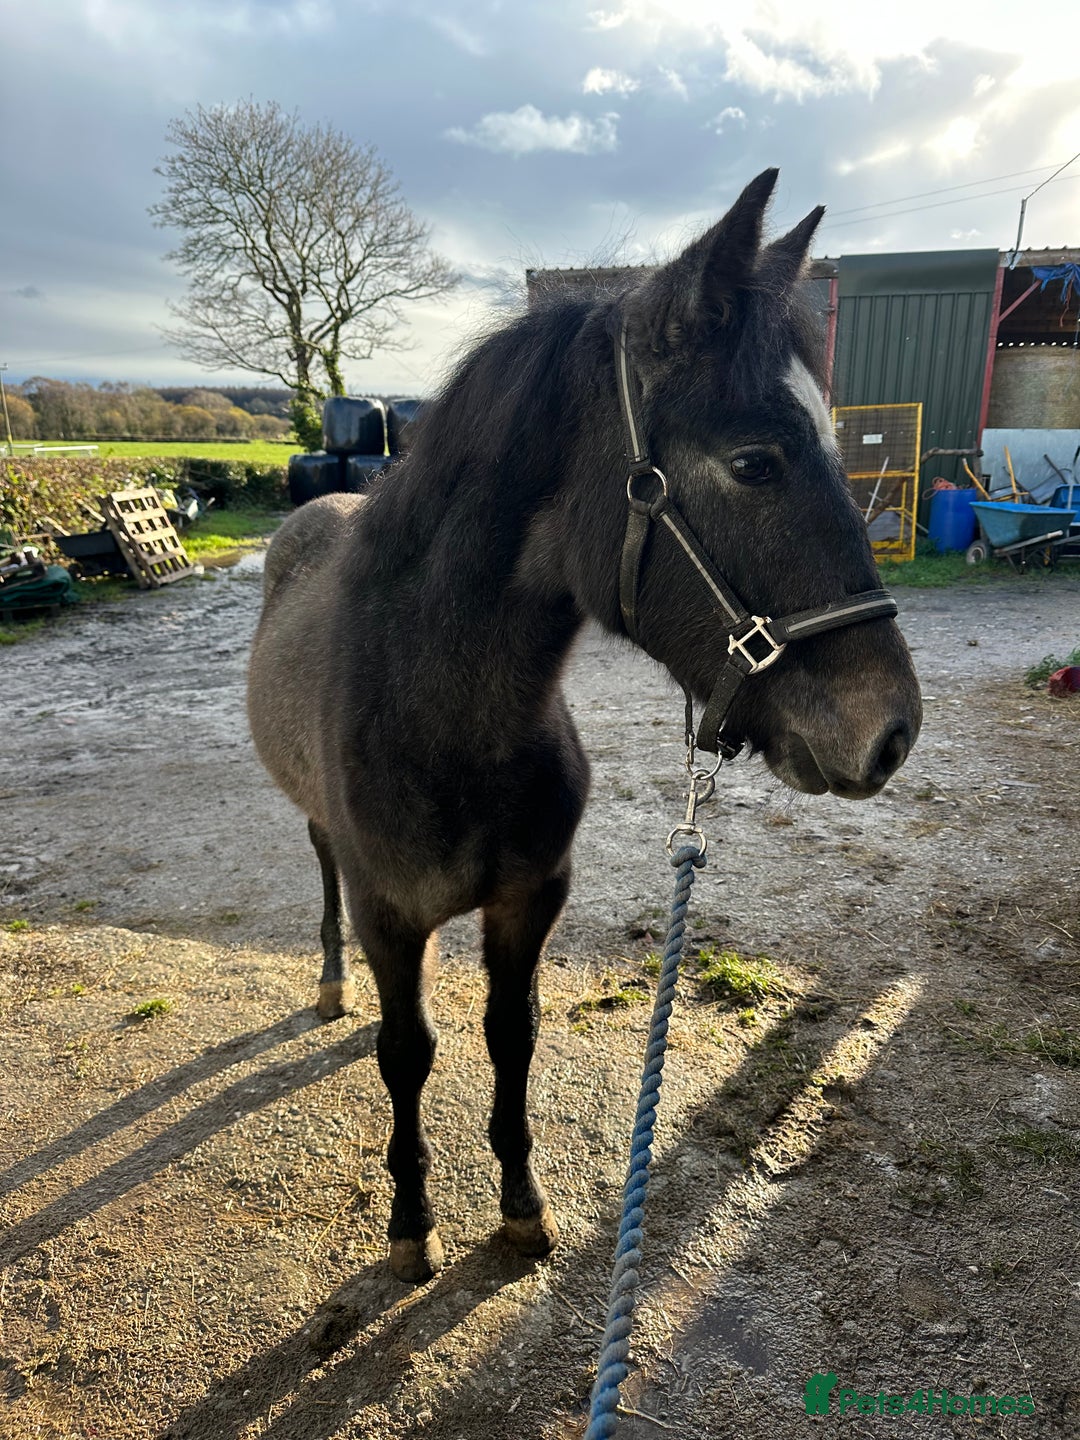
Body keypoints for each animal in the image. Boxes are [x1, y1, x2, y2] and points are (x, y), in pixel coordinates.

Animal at [247, 169, 922, 1284]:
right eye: (755, 462)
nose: (893, 731)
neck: (449, 724)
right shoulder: (393, 913)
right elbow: (407, 1052)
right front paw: (410, 1222)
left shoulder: (531, 901)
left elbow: (509, 1035)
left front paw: (521, 1208)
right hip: (317, 832)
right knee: (324, 874)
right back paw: (334, 982)